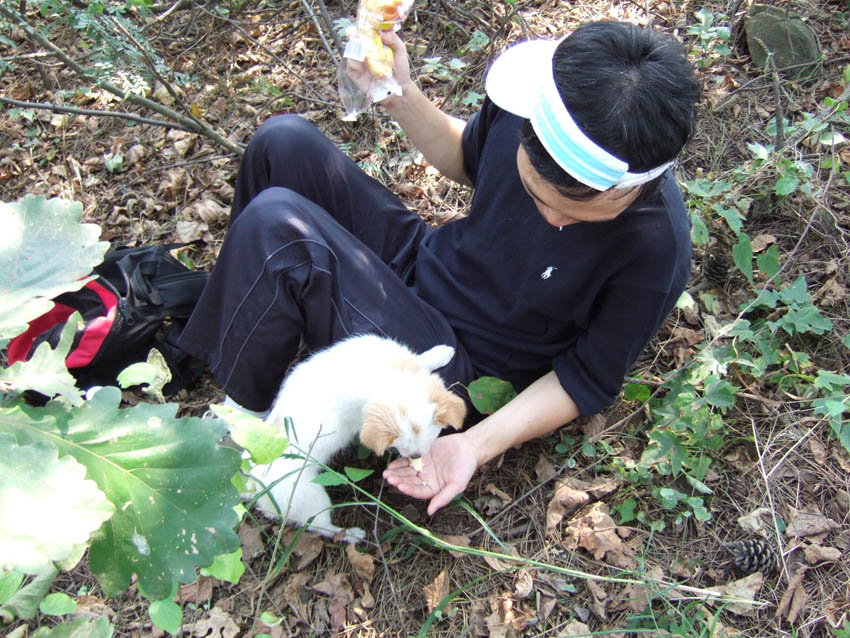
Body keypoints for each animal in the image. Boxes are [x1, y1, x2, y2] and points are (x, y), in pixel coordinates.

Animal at [243, 334, 467, 543]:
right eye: (400, 446)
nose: (415, 457)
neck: (384, 377)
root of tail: (254, 483)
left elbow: (421, 359)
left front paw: (441, 353)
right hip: (311, 499)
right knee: (320, 527)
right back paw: (350, 535)